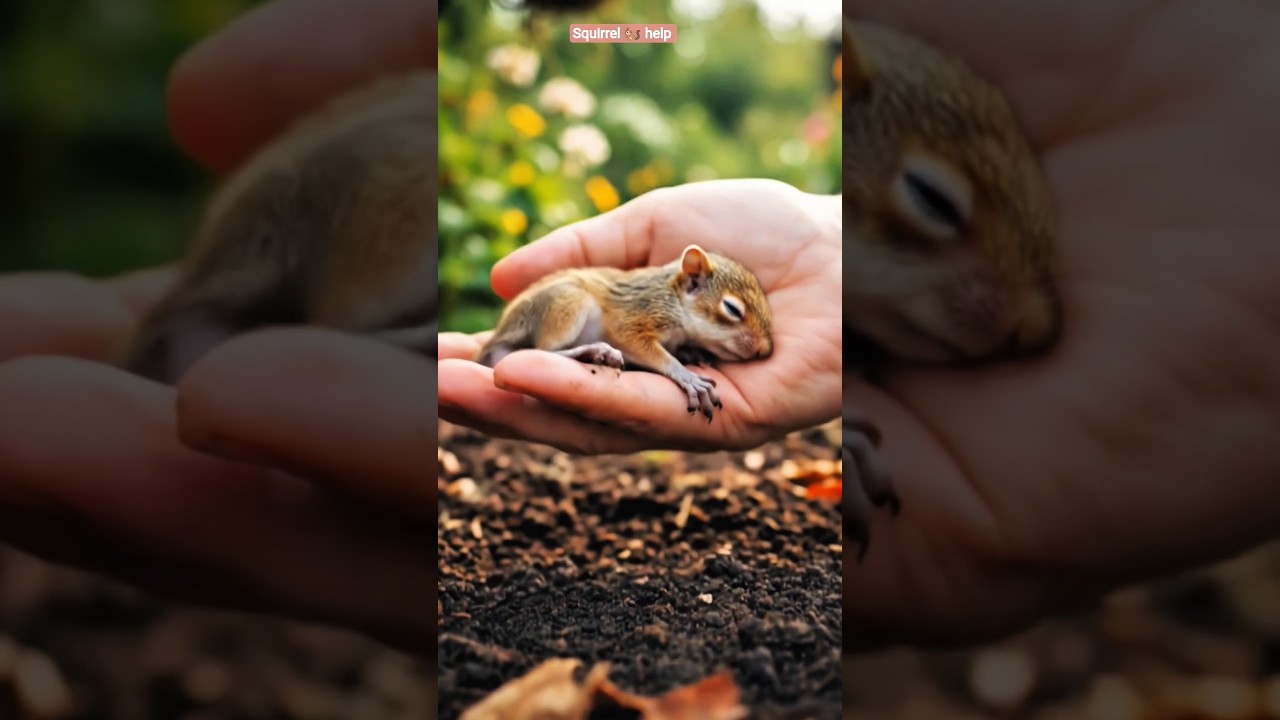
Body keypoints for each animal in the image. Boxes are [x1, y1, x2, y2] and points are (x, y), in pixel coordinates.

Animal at [474, 244, 774, 421]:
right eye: (732, 309)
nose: (765, 350)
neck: (672, 298)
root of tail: (495, 340)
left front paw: (693, 353)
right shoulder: (634, 319)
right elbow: (648, 349)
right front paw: (687, 376)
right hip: (567, 304)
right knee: (543, 351)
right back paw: (592, 351)